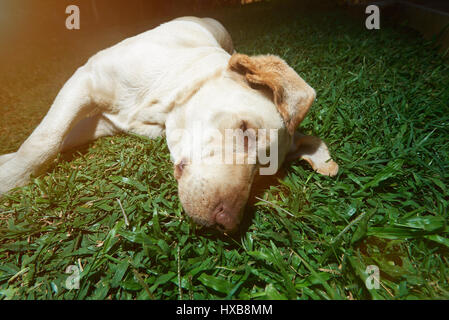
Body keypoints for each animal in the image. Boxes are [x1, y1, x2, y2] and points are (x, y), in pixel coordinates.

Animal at [0, 16, 336, 234]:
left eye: (265, 176)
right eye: (244, 130)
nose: (227, 223)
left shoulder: (99, 122)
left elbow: (52, 140)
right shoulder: (86, 81)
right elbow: (44, 141)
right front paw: (10, 175)